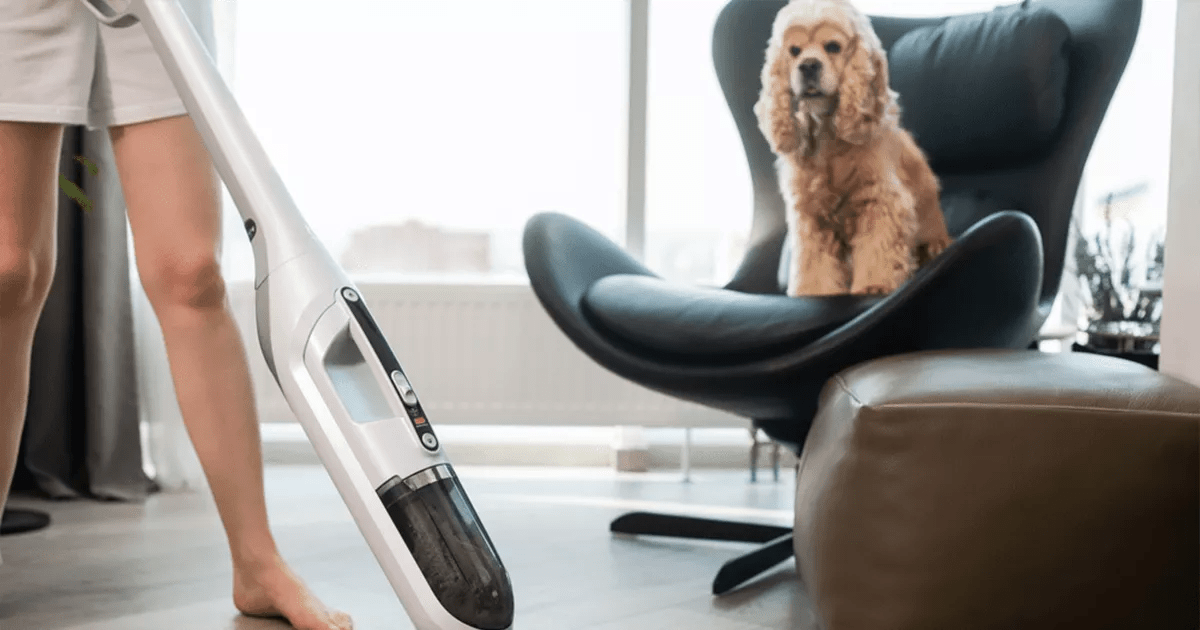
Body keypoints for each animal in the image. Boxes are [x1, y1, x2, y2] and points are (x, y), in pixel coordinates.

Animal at [758, 0, 945, 297]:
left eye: (833, 46)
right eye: (794, 51)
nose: (808, 65)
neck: (827, 133)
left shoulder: (878, 199)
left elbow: (878, 244)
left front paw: (875, 283)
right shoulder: (810, 215)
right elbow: (814, 259)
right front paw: (815, 290)